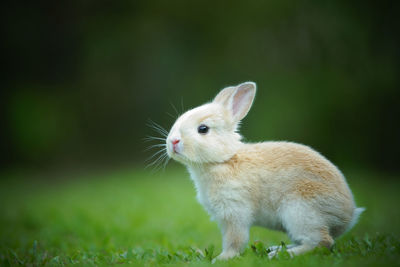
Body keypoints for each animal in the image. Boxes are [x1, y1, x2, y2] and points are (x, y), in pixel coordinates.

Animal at [164, 81, 364, 262]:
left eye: (203, 129)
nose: (173, 141)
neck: (223, 160)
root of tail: (348, 216)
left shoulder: (235, 213)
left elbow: (235, 240)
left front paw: (223, 258)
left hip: (301, 212)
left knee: (322, 242)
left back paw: (280, 254)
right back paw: (276, 249)